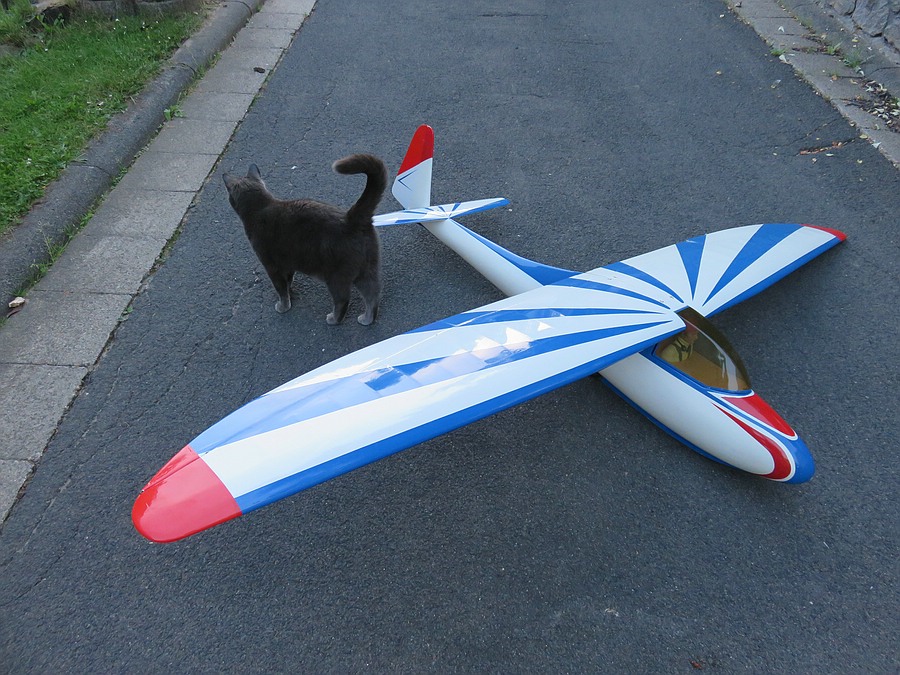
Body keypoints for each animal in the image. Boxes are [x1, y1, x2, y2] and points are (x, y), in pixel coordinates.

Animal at [223, 154, 387, 325]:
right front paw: (290, 291)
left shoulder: (272, 265)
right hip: (367, 267)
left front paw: (283, 305)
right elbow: (288, 280)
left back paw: (334, 319)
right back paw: (367, 318)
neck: (259, 208)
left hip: (336, 275)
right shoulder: (287, 262)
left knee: (343, 300)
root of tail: (351, 218)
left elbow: (280, 287)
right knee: (373, 294)